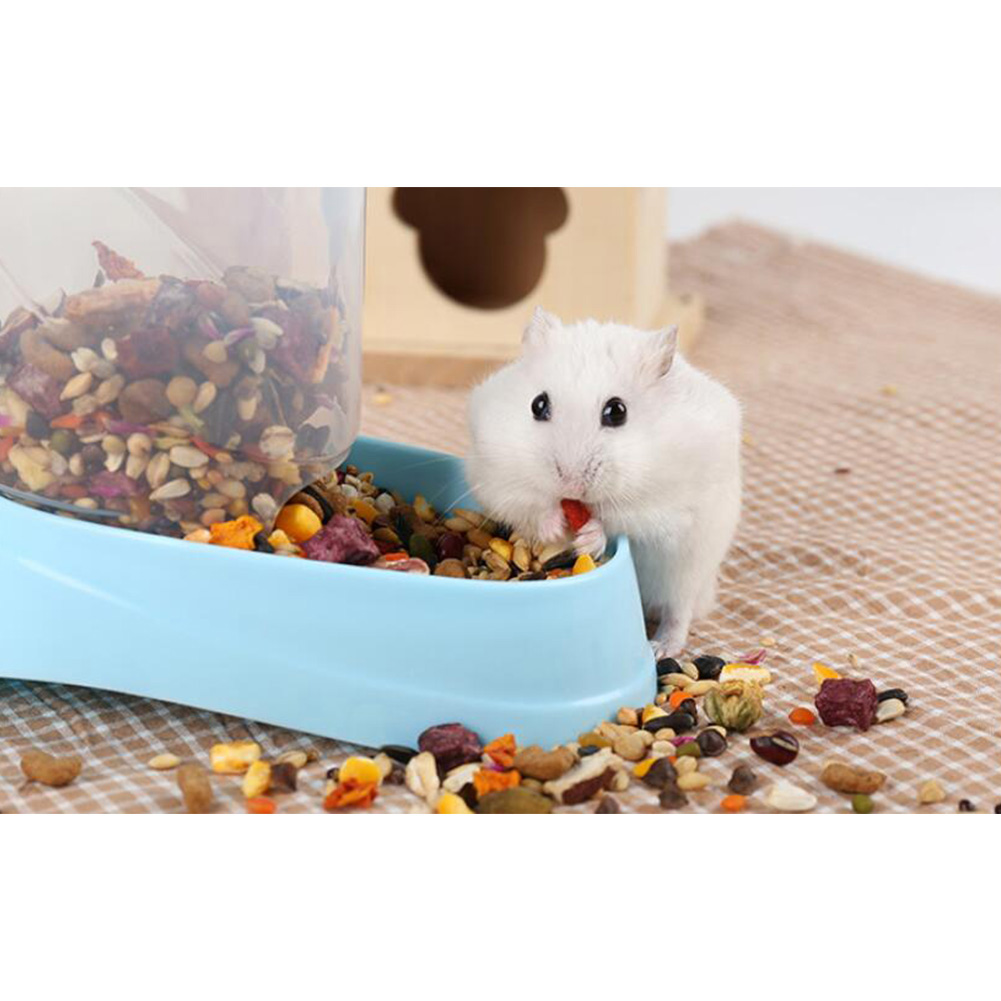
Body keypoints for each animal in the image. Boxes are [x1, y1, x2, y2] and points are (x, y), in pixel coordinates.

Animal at [466, 307, 742, 659]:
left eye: (617, 411)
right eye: (537, 405)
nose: (570, 484)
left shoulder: (667, 504)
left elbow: (620, 519)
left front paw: (589, 537)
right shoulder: (496, 476)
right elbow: (530, 504)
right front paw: (553, 529)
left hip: (688, 569)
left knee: (678, 612)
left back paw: (660, 649)